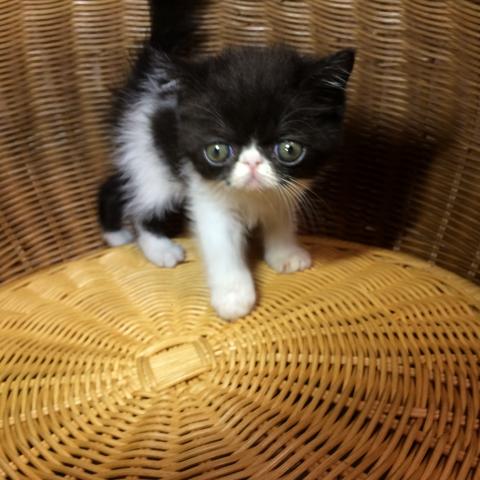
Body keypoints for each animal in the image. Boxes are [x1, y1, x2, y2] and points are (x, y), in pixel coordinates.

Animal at [99, 0, 355, 321]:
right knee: (143, 205)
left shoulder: (283, 190)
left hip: (142, 155)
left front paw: (285, 254)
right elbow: (221, 242)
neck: (253, 196)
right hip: (153, 163)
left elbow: (280, 217)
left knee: (116, 184)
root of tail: (148, 82)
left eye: (289, 149)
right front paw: (233, 296)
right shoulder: (208, 196)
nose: (252, 163)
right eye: (218, 151)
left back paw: (116, 235)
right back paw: (159, 248)